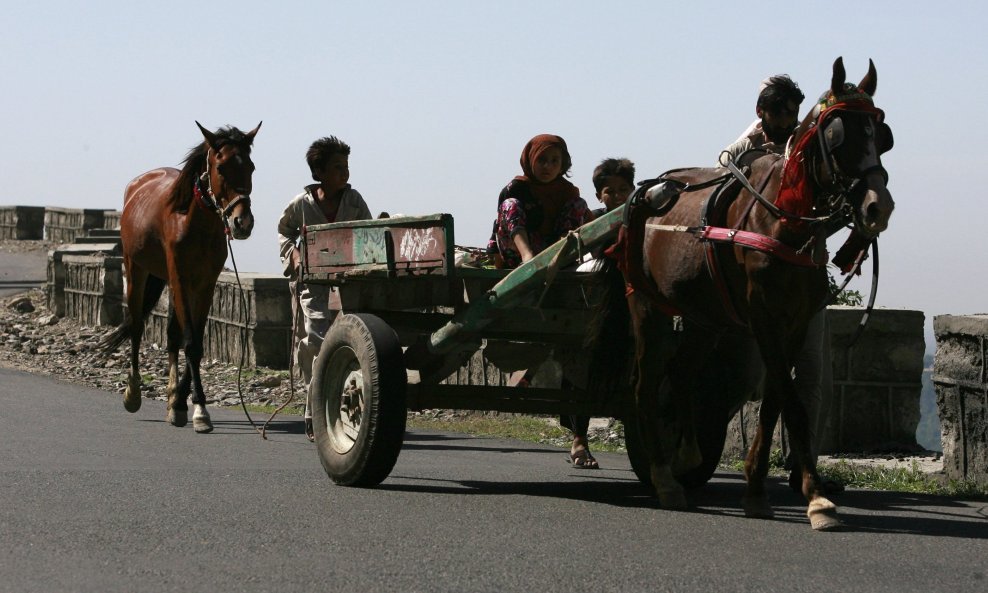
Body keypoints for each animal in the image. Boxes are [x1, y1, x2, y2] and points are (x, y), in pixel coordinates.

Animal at [102, 122, 260, 432]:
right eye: (221, 167)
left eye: (251, 166)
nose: (242, 222)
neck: (194, 222)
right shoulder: (181, 278)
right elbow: (191, 342)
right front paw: (198, 410)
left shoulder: (205, 283)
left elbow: (194, 339)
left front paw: (184, 404)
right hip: (136, 268)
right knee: (136, 325)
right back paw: (133, 392)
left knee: (172, 334)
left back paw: (173, 397)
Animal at [596, 57, 896, 528]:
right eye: (837, 135)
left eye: (882, 135)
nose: (876, 206)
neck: (781, 222)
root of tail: (639, 197)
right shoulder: (764, 317)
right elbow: (791, 402)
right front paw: (815, 499)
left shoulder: (795, 323)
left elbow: (776, 403)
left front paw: (759, 490)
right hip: (646, 303)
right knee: (645, 386)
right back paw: (665, 479)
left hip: (704, 317)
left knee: (681, 375)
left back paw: (687, 456)